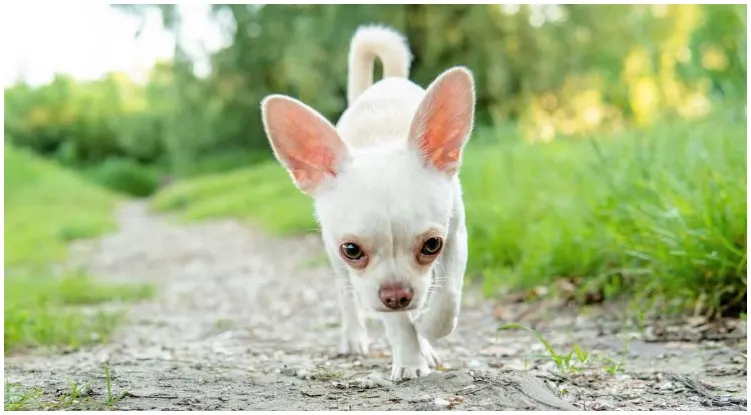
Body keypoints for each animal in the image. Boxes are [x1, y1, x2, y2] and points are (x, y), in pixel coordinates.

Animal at [262, 25, 476, 384]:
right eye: (352, 250)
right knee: (347, 297)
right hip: (337, 267)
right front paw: (410, 359)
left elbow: (447, 298)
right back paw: (355, 337)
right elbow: (397, 322)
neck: (382, 138)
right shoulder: (369, 282)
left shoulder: (455, 237)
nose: (397, 295)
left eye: (432, 245)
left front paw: (428, 327)